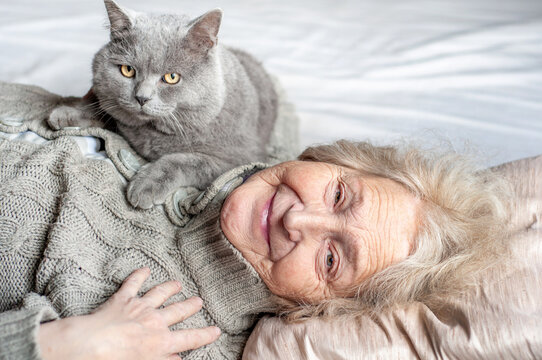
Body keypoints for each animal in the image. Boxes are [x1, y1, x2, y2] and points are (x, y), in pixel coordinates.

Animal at [45, 0, 280, 210]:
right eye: (127, 70)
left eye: (171, 77)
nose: (141, 97)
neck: (153, 132)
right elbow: (106, 109)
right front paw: (67, 113)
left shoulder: (240, 160)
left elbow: (186, 161)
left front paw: (146, 186)